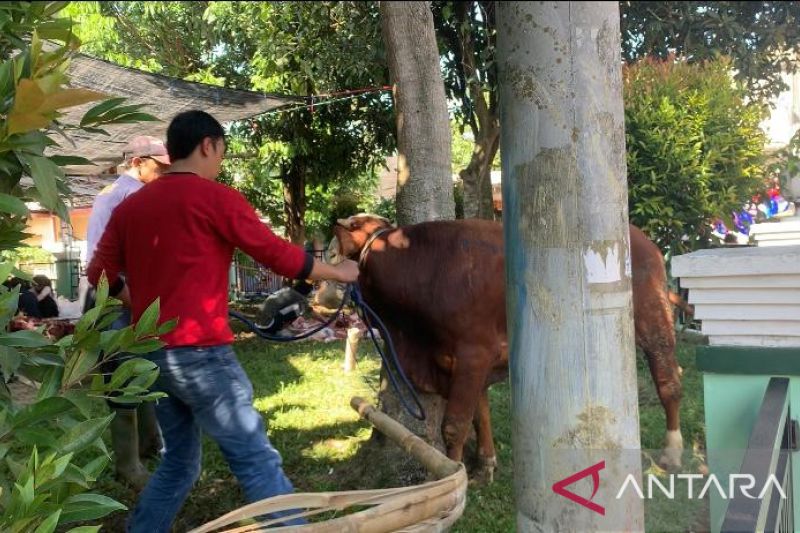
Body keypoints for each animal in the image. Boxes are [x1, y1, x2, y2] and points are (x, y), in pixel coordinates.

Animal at [334, 212, 684, 478]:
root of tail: (642, 237)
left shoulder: (474, 352)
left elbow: (455, 424)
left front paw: (451, 474)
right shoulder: (467, 360)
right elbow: (480, 414)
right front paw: (486, 464)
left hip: (653, 317)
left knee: (669, 380)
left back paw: (672, 452)